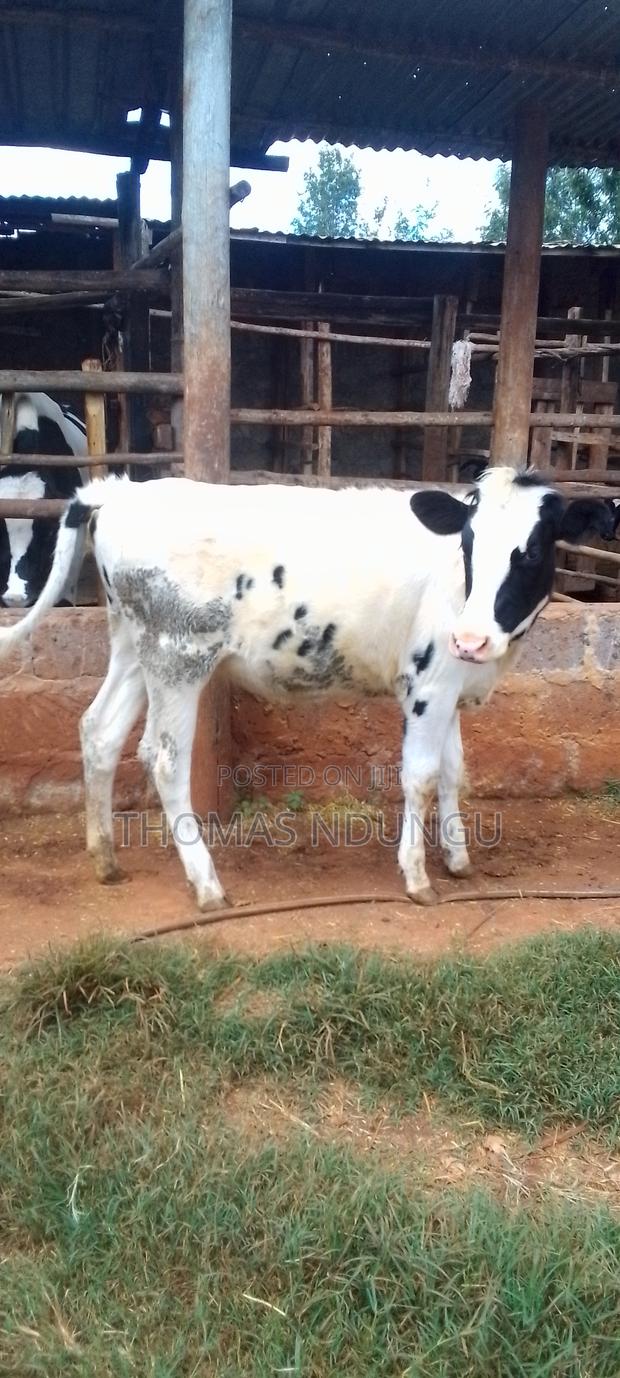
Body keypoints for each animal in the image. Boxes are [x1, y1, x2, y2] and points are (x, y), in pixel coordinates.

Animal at [0, 465, 616, 910]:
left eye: (530, 551)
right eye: (468, 544)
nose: (470, 637)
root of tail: (119, 491)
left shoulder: (453, 680)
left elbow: (454, 770)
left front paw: (459, 858)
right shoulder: (429, 680)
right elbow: (420, 776)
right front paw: (417, 877)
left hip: (134, 646)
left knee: (98, 731)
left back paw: (105, 859)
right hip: (179, 656)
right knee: (165, 758)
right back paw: (207, 885)